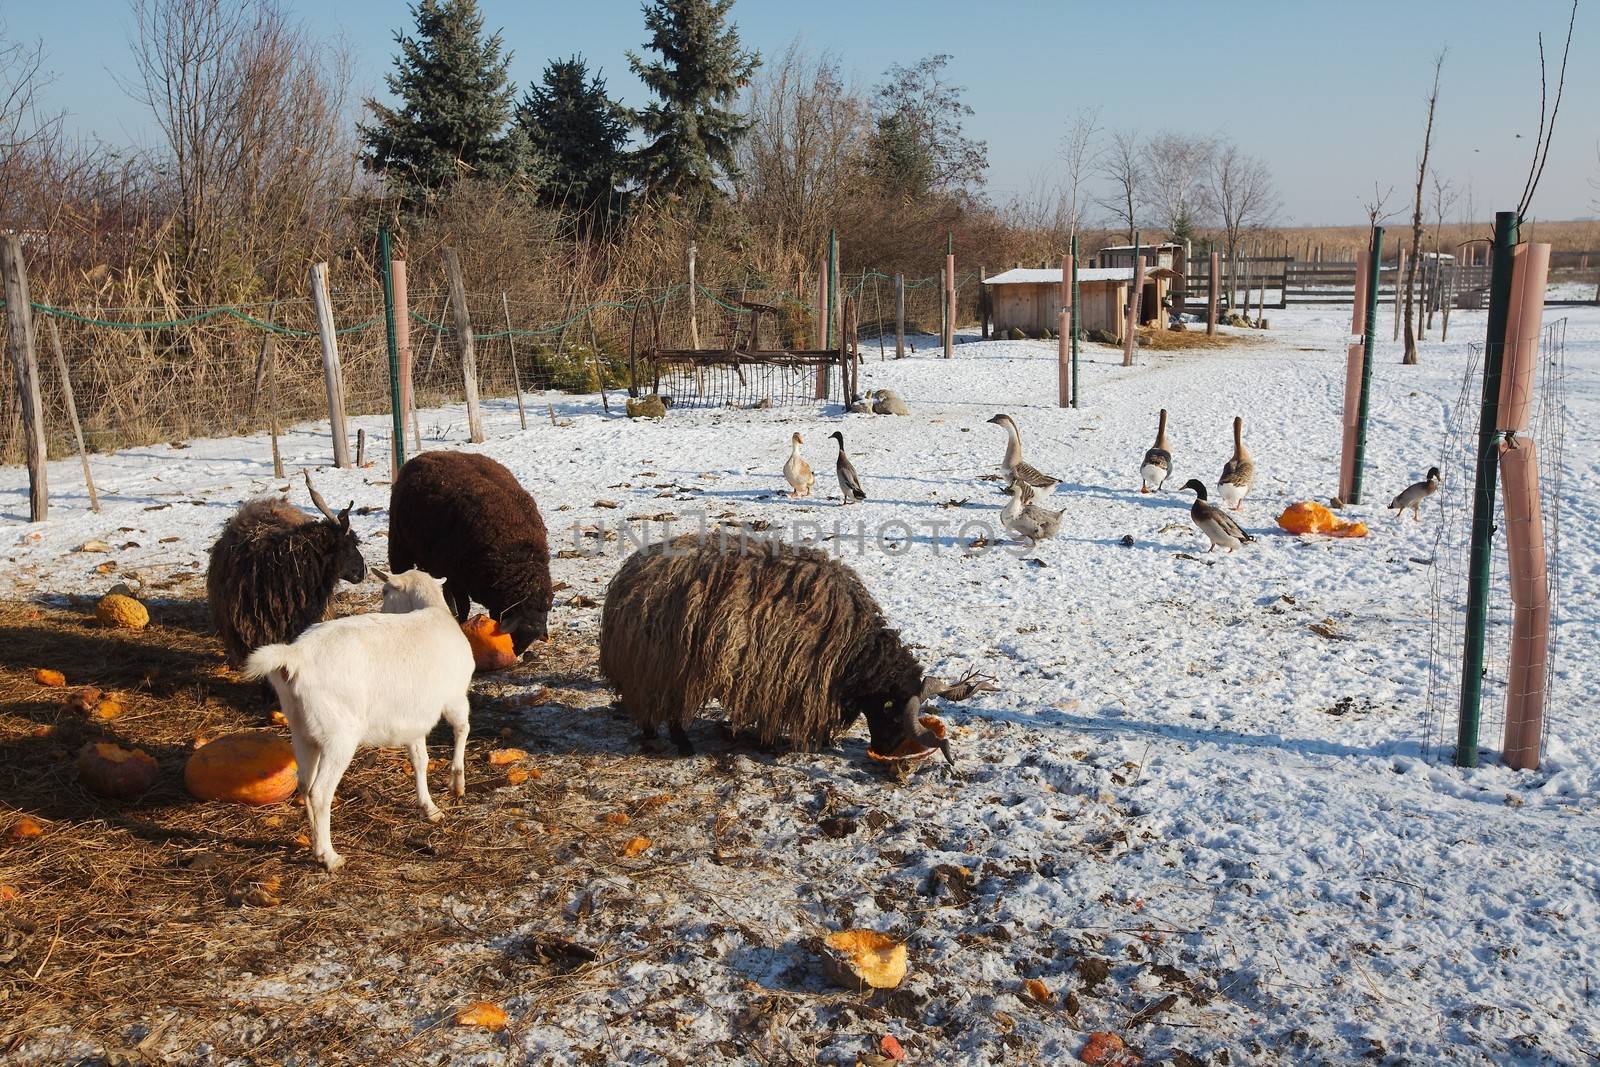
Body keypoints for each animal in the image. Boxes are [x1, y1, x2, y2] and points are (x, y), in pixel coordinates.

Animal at [240, 566, 470, 870]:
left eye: (385, 592)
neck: (433, 609)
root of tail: (295, 657)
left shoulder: (413, 718)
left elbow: (420, 760)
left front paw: (429, 807)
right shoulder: (455, 697)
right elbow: (461, 729)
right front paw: (457, 784)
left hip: (302, 730)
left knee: (304, 785)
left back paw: (315, 842)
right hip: (339, 735)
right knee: (319, 792)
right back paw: (329, 856)